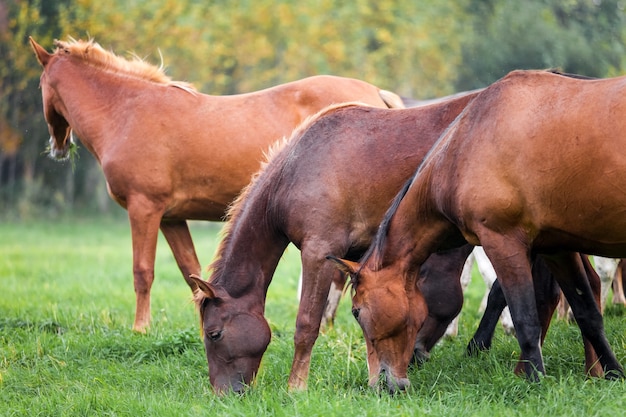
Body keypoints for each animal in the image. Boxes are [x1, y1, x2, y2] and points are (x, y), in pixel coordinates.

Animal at [29, 36, 402, 332]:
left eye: (41, 86)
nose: (57, 147)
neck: (126, 111)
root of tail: (375, 93)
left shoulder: (144, 208)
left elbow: (142, 271)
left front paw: (140, 329)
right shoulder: (171, 217)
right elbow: (190, 272)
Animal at [186, 91, 478, 394]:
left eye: (214, 334)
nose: (223, 393)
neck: (294, 169)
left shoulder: (318, 253)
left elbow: (307, 324)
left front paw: (296, 387)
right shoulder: (363, 262)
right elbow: (370, 324)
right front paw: (377, 379)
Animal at [330, 68, 620, 390]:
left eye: (356, 312)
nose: (383, 383)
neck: (466, 145)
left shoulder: (503, 241)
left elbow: (523, 314)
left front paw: (532, 378)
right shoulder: (556, 247)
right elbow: (587, 312)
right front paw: (613, 374)